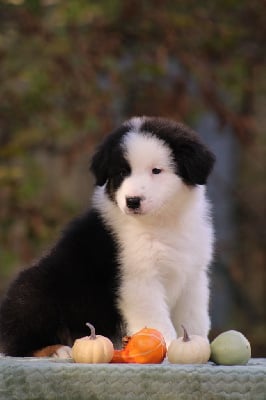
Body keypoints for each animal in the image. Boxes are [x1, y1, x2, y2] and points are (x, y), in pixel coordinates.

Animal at [0, 115, 215, 356]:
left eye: (156, 171)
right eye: (122, 172)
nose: (132, 201)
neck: (162, 222)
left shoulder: (193, 276)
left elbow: (193, 317)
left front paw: (196, 344)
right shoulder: (139, 280)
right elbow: (156, 320)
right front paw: (167, 347)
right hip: (37, 293)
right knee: (20, 345)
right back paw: (58, 350)